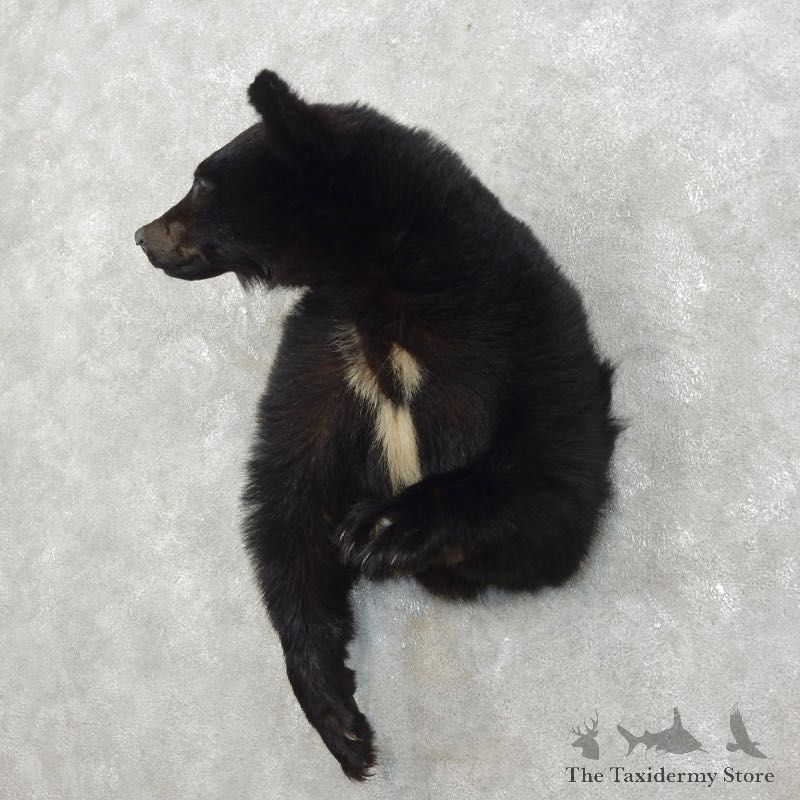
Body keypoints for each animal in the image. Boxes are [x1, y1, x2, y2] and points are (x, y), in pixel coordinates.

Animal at [134, 70, 620, 780]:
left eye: (202, 181)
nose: (143, 236)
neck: (387, 289)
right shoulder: (324, 350)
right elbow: (288, 493)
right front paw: (338, 716)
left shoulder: (523, 328)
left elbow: (557, 485)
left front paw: (383, 527)